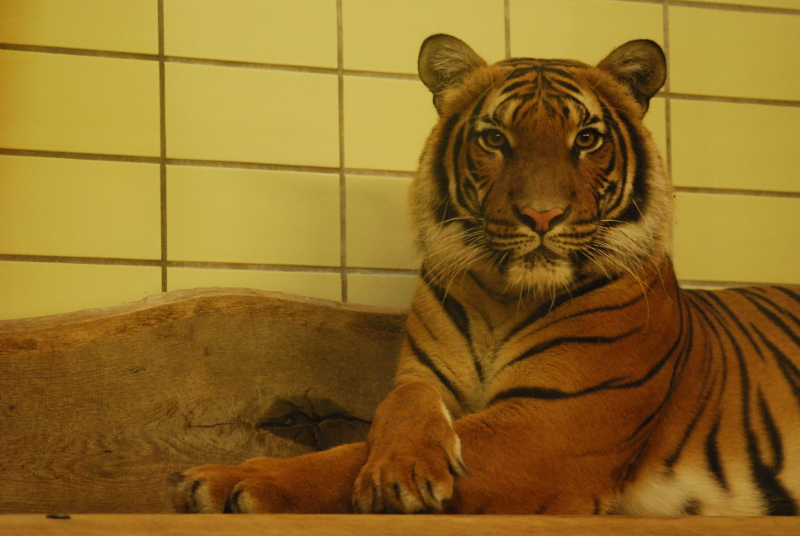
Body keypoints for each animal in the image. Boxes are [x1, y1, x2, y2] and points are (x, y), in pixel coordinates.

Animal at [170, 34, 800, 516]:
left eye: (586, 139)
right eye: (495, 138)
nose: (542, 216)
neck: (505, 296)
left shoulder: (556, 423)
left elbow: (346, 458)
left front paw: (241, 482)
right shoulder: (425, 377)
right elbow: (395, 407)